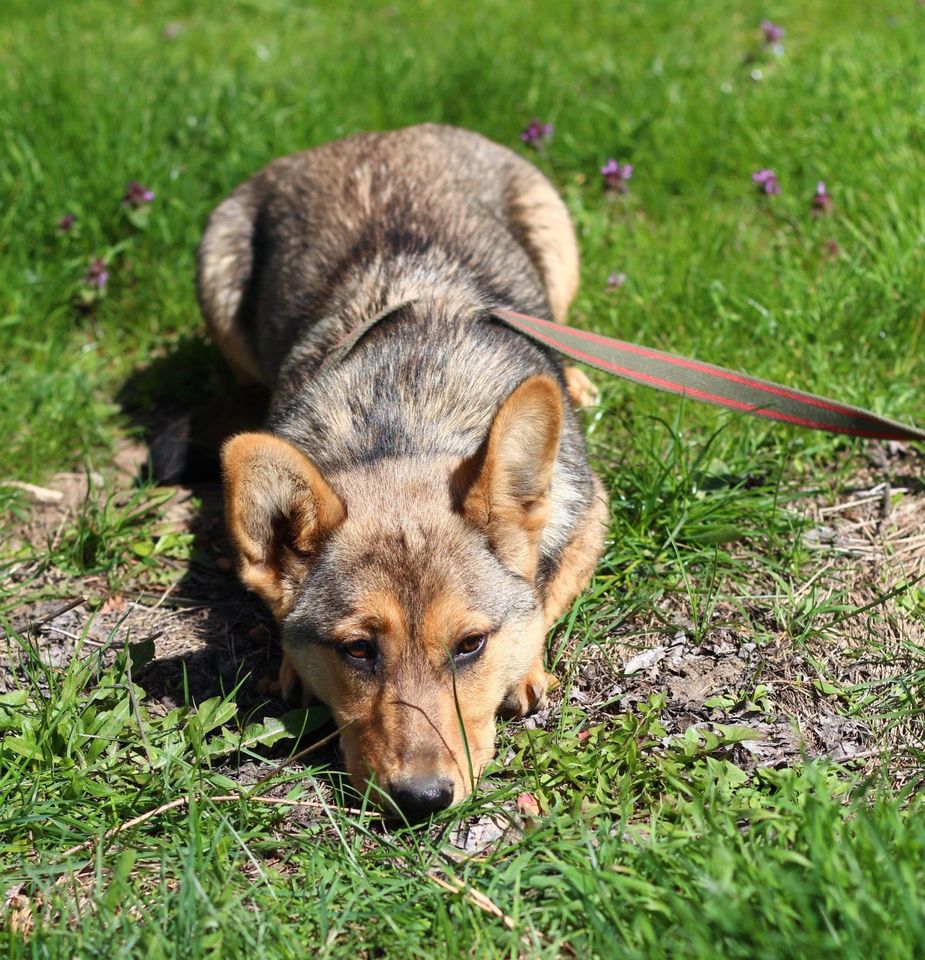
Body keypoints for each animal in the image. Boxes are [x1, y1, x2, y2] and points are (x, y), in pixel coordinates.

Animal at [197, 124, 608, 816]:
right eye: (357, 650)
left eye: (470, 645)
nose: (421, 800)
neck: (406, 421)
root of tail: (373, 134)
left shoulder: (590, 517)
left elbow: (541, 597)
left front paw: (523, 664)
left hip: (560, 242)